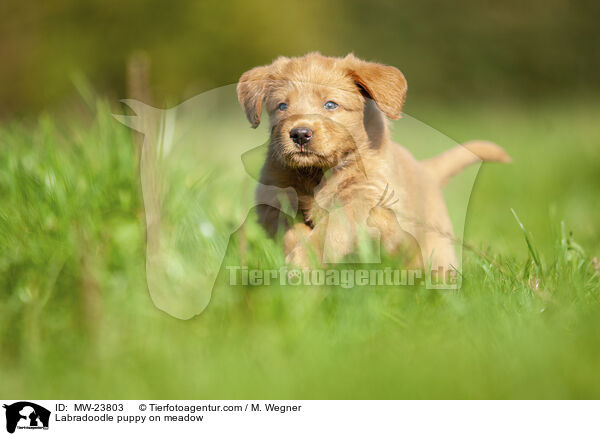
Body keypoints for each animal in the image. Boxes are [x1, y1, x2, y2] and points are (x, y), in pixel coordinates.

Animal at [237, 52, 508, 274]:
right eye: (282, 106)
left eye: (330, 104)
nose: (300, 134)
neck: (316, 173)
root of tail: (425, 170)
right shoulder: (271, 201)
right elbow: (291, 230)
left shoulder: (365, 197)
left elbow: (333, 227)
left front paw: (303, 260)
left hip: (435, 244)